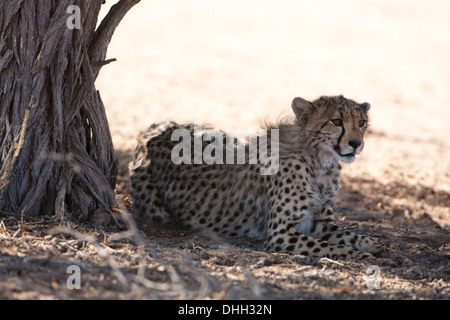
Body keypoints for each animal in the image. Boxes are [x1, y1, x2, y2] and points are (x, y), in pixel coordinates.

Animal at [129, 95, 384, 260]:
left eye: (361, 123)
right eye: (336, 121)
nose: (356, 144)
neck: (320, 162)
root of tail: (152, 131)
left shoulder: (320, 221)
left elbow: (351, 235)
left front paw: (374, 246)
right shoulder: (281, 234)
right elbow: (334, 248)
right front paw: (362, 257)